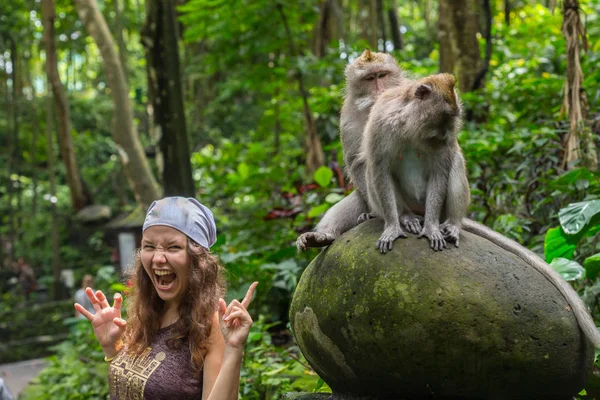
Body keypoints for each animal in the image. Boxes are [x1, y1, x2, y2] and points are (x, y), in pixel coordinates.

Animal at [296, 49, 408, 250]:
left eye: (382, 75)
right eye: (370, 78)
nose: (379, 91)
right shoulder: (347, 117)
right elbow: (357, 162)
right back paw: (324, 236)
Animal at [364, 73, 600, 348]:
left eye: (454, 116)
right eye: (445, 115)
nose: (447, 132)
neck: (409, 126)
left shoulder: (441, 145)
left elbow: (441, 170)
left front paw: (431, 228)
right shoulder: (381, 125)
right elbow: (380, 169)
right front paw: (392, 226)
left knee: (454, 161)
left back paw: (450, 225)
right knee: (372, 170)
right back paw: (407, 218)